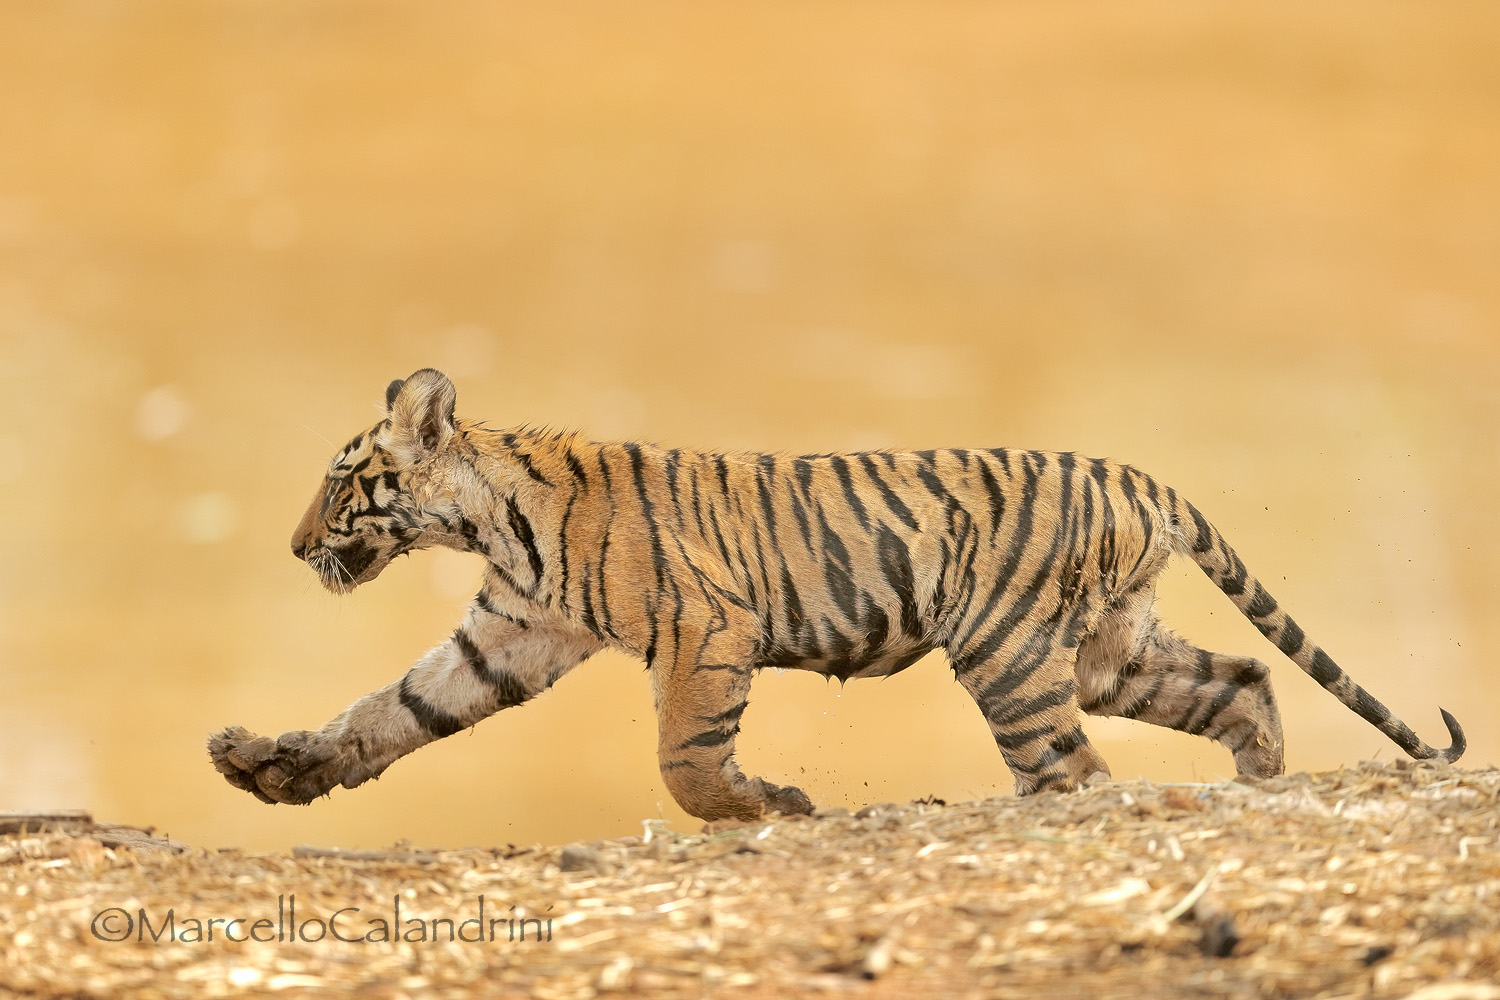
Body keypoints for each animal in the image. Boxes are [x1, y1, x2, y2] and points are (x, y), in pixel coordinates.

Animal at [208, 368, 1466, 822]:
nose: (291, 545)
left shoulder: (705, 628)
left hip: (1009, 653)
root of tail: (1139, 478)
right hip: (1113, 650)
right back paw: (1261, 785)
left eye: (342, 483)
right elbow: (388, 713)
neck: (488, 520)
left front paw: (769, 804)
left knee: (1073, 768)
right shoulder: (505, 638)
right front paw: (270, 768)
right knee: (1243, 679)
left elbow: (685, 757)